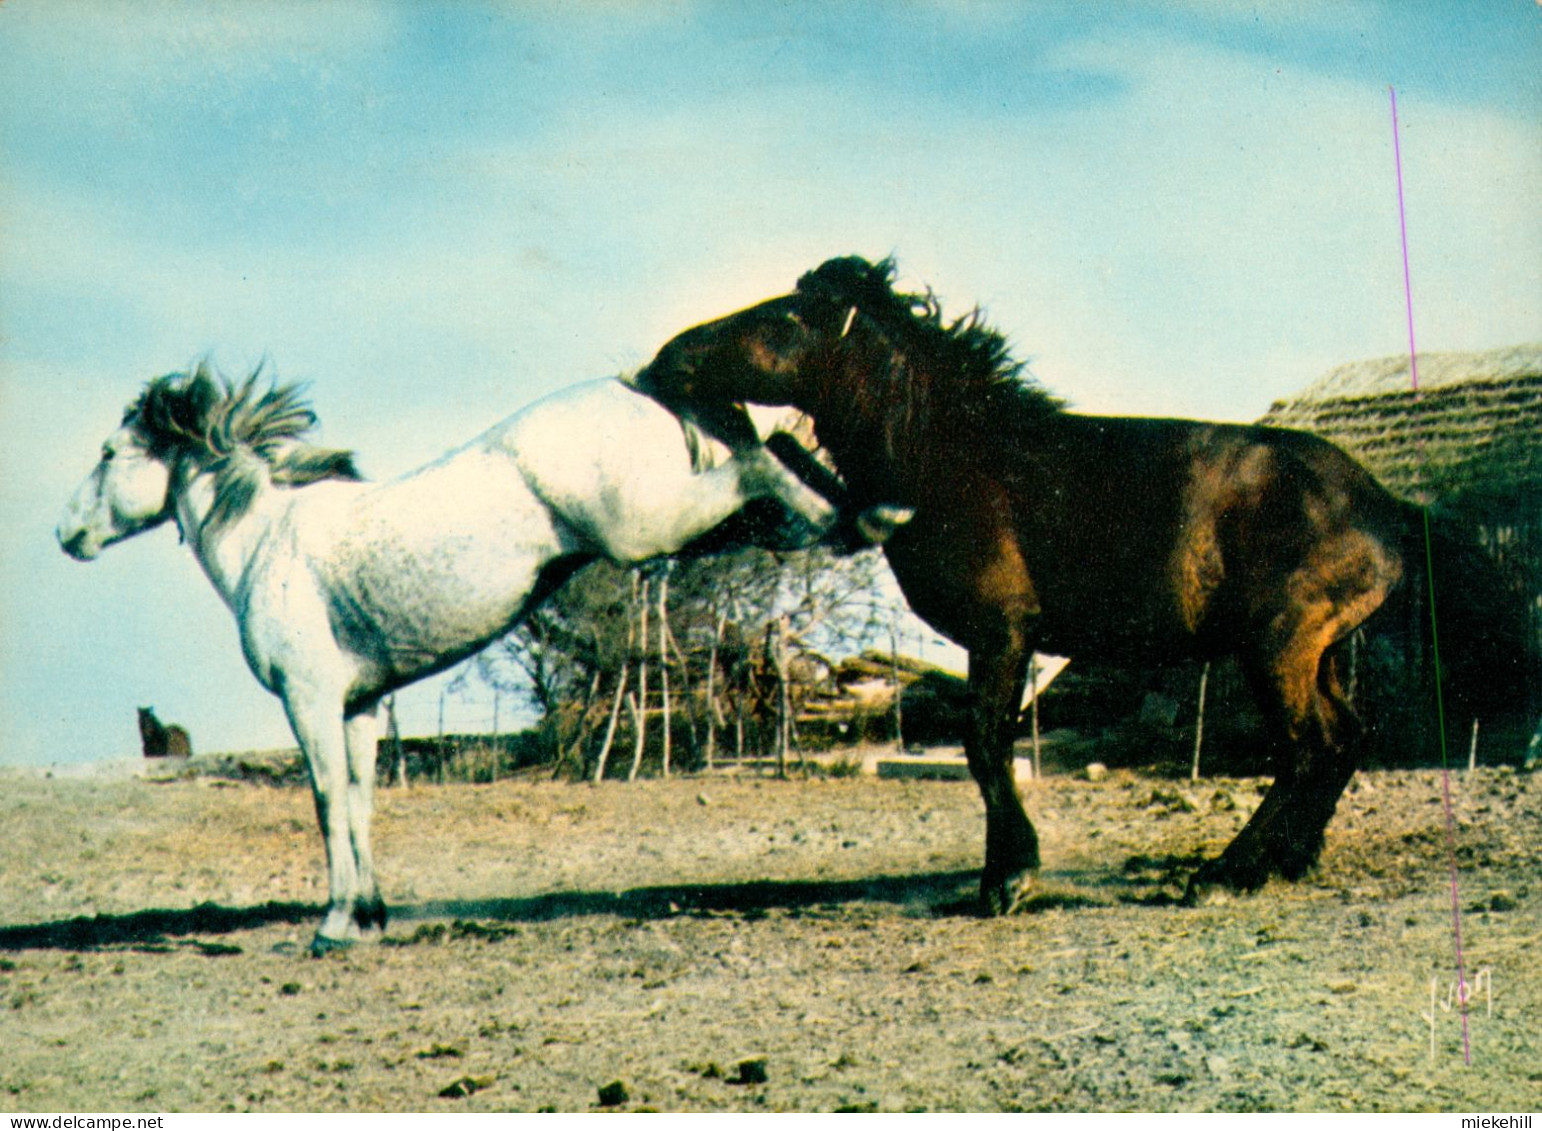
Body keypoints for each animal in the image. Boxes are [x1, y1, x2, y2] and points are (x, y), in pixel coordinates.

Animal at [60, 361, 900, 950]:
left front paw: (331, 925)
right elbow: (362, 802)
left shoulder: (311, 701)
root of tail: (637, 387)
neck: (270, 541)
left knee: (765, 458)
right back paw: (867, 513)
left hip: (649, 527)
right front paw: (370, 915)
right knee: (778, 471)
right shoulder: (361, 704)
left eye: (107, 452)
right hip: (695, 527)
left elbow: (328, 801)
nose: (67, 533)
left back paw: (870, 517)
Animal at [638, 253, 1529, 907]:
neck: (958, 457)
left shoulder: (1002, 633)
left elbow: (986, 745)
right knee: (1343, 738)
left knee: (1308, 745)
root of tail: (1384, 503)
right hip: (1323, 650)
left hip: (1278, 646)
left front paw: (1008, 877)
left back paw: (1226, 872)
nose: (664, 359)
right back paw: (1287, 859)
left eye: (783, 317)